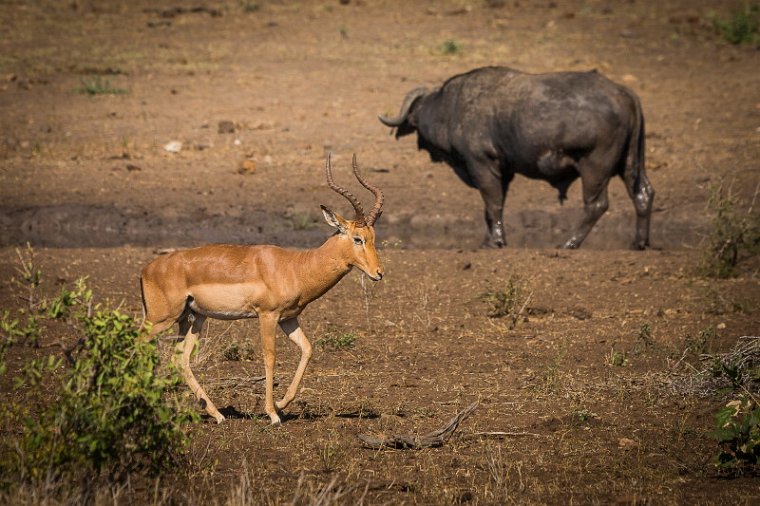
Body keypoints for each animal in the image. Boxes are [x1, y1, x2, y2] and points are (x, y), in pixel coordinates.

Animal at [140, 154, 382, 422]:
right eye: (357, 239)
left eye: (373, 237)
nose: (378, 273)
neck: (294, 267)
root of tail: (147, 269)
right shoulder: (267, 315)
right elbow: (270, 357)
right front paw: (272, 414)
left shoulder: (288, 319)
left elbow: (307, 349)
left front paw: (280, 404)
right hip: (161, 319)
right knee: (139, 344)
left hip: (192, 318)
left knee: (180, 359)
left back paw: (217, 415)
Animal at [380, 66, 652, 248]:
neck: (449, 108)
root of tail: (623, 93)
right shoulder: (504, 172)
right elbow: (492, 207)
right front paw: (489, 239)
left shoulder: (481, 165)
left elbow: (493, 204)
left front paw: (495, 241)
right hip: (629, 163)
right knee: (643, 194)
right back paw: (639, 242)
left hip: (595, 168)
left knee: (596, 205)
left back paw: (569, 243)